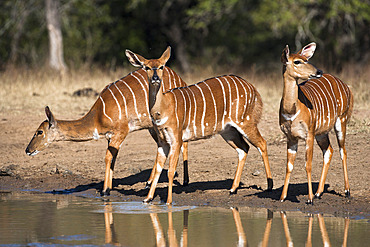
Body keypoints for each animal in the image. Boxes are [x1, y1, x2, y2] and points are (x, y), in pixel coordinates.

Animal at [25, 66, 191, 196]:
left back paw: (185, 181)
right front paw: (109, 187)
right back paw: (149, 183)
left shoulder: (121, 132)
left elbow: (107, 157)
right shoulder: (111, 137)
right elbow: (113, 157)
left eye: (39, 132)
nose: (27, 150)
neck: (98, 115)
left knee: (183, 143)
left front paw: (105, 191)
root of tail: (180, 79)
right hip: (153, 127)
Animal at [125, 46, 274, 205]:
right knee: (244, 148)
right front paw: (147, 199)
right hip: (228, 131)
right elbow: (159, 169)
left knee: (262, 143)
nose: (155, 78)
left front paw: (169, 201)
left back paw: (269, 186)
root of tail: (253, 89)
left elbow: (170, 170)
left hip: (246, 122)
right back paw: (233, 189)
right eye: (146, 67)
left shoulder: (176, 139)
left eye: (161, 66)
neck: (163, 107)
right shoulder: (162, 142)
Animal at [278, 43, 354, 205]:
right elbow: (289, 166)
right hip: (322, 133)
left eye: (306, 59)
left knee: (342, 151)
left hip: (341, 121)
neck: (291, 110)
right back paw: (319, 193)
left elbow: (308, 165)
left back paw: (347, 192)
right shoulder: (291, 137)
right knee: (329, 151)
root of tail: (345, 86)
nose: (318, 71)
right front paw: (282, 197)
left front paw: (310, 199)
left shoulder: (309, 134)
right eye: (297, 61)